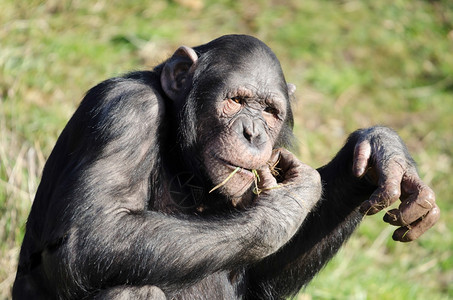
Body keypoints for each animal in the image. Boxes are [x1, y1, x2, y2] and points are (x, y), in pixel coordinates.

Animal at [13, 34, 438, 298]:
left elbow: (259, 279)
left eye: (269, 112)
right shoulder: (126, 111)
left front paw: (378, 153)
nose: (253, 133)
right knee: (132, 288)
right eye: (236, 101)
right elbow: (87, 236)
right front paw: (286, 207)